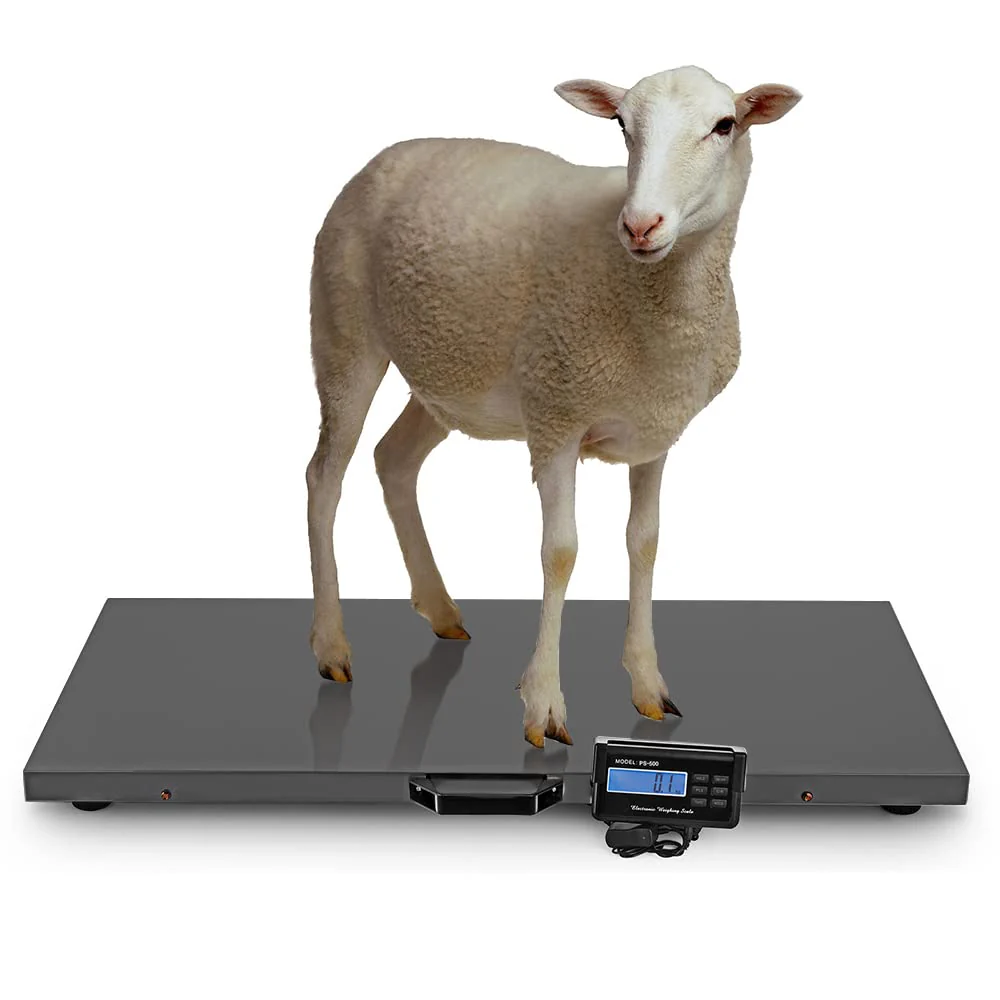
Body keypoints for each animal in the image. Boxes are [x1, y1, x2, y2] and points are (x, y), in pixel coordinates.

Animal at [306, 65, 800, 747]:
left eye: (725, 125)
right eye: (621, 125)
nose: (640, 225)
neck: (649, 298)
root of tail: (384, 156)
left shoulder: (655, 429)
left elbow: (645, 542)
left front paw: (648, 685)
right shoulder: (556, 416)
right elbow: (560, 552)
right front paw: (542, 704)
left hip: (447, 373)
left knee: (393, 459)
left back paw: (440, 608)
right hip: (343, 328)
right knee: (325, 477)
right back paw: (332, 645)